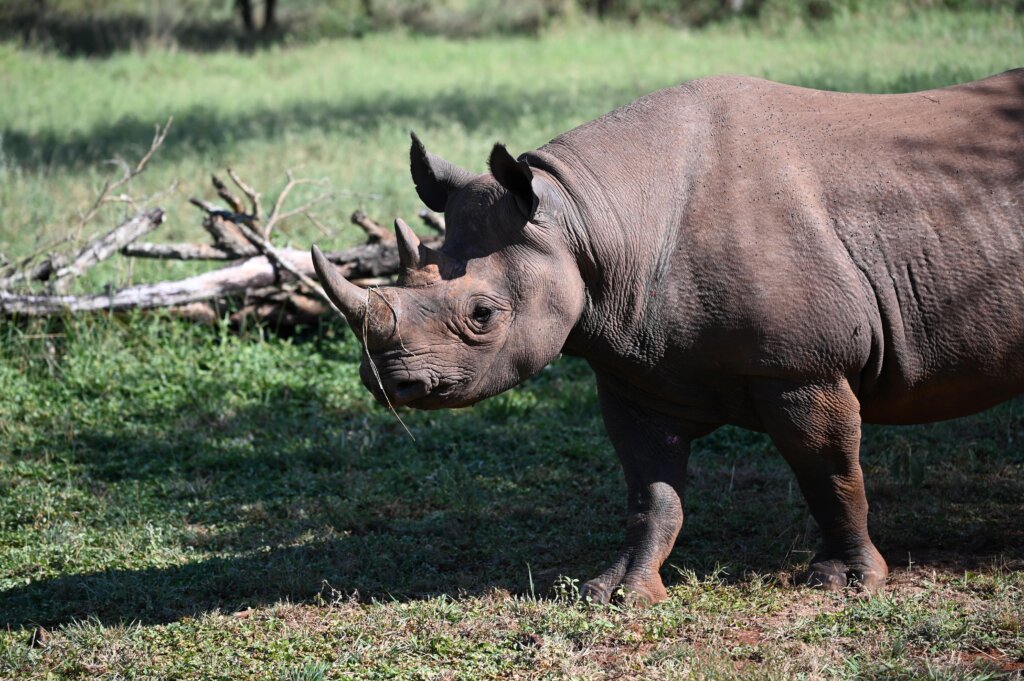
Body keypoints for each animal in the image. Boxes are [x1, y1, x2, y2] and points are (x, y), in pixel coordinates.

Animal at [311, 71, 1024, 602]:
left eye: (483, 315)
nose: (386, 383)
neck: (585, 217)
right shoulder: (637, 370)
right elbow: (649, 492)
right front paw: (617, 592)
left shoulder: (802, 366)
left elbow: (829, 472)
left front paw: (846, 583)